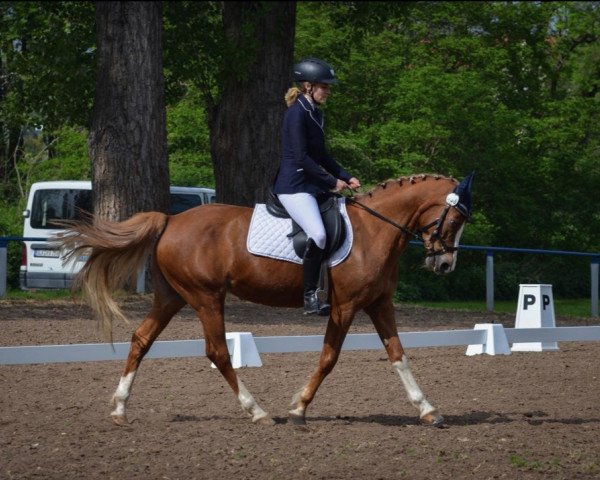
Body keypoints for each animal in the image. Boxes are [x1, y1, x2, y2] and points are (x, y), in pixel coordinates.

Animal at [59, 172, 474, 428]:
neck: (376, 230)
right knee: (217, 352)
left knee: (141, 339)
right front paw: (298, 408)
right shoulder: (344, 308)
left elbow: (398, 354)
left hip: (172, 296)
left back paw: (119, 408)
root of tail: (171, 221)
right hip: (206, 297)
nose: (444, 264)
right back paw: (257, 411)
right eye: (454, 221)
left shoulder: (378, 304)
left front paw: (428, 410)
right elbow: (328, 358)